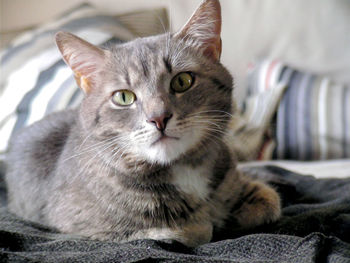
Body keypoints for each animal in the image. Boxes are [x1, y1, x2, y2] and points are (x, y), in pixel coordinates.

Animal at [4, 0, 280, 248]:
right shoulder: (83, 226)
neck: (182, 170)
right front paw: (205, 223)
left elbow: (269, 200)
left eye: (182, 81)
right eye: (123, 97)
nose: (159, 118)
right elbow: (186, 229)